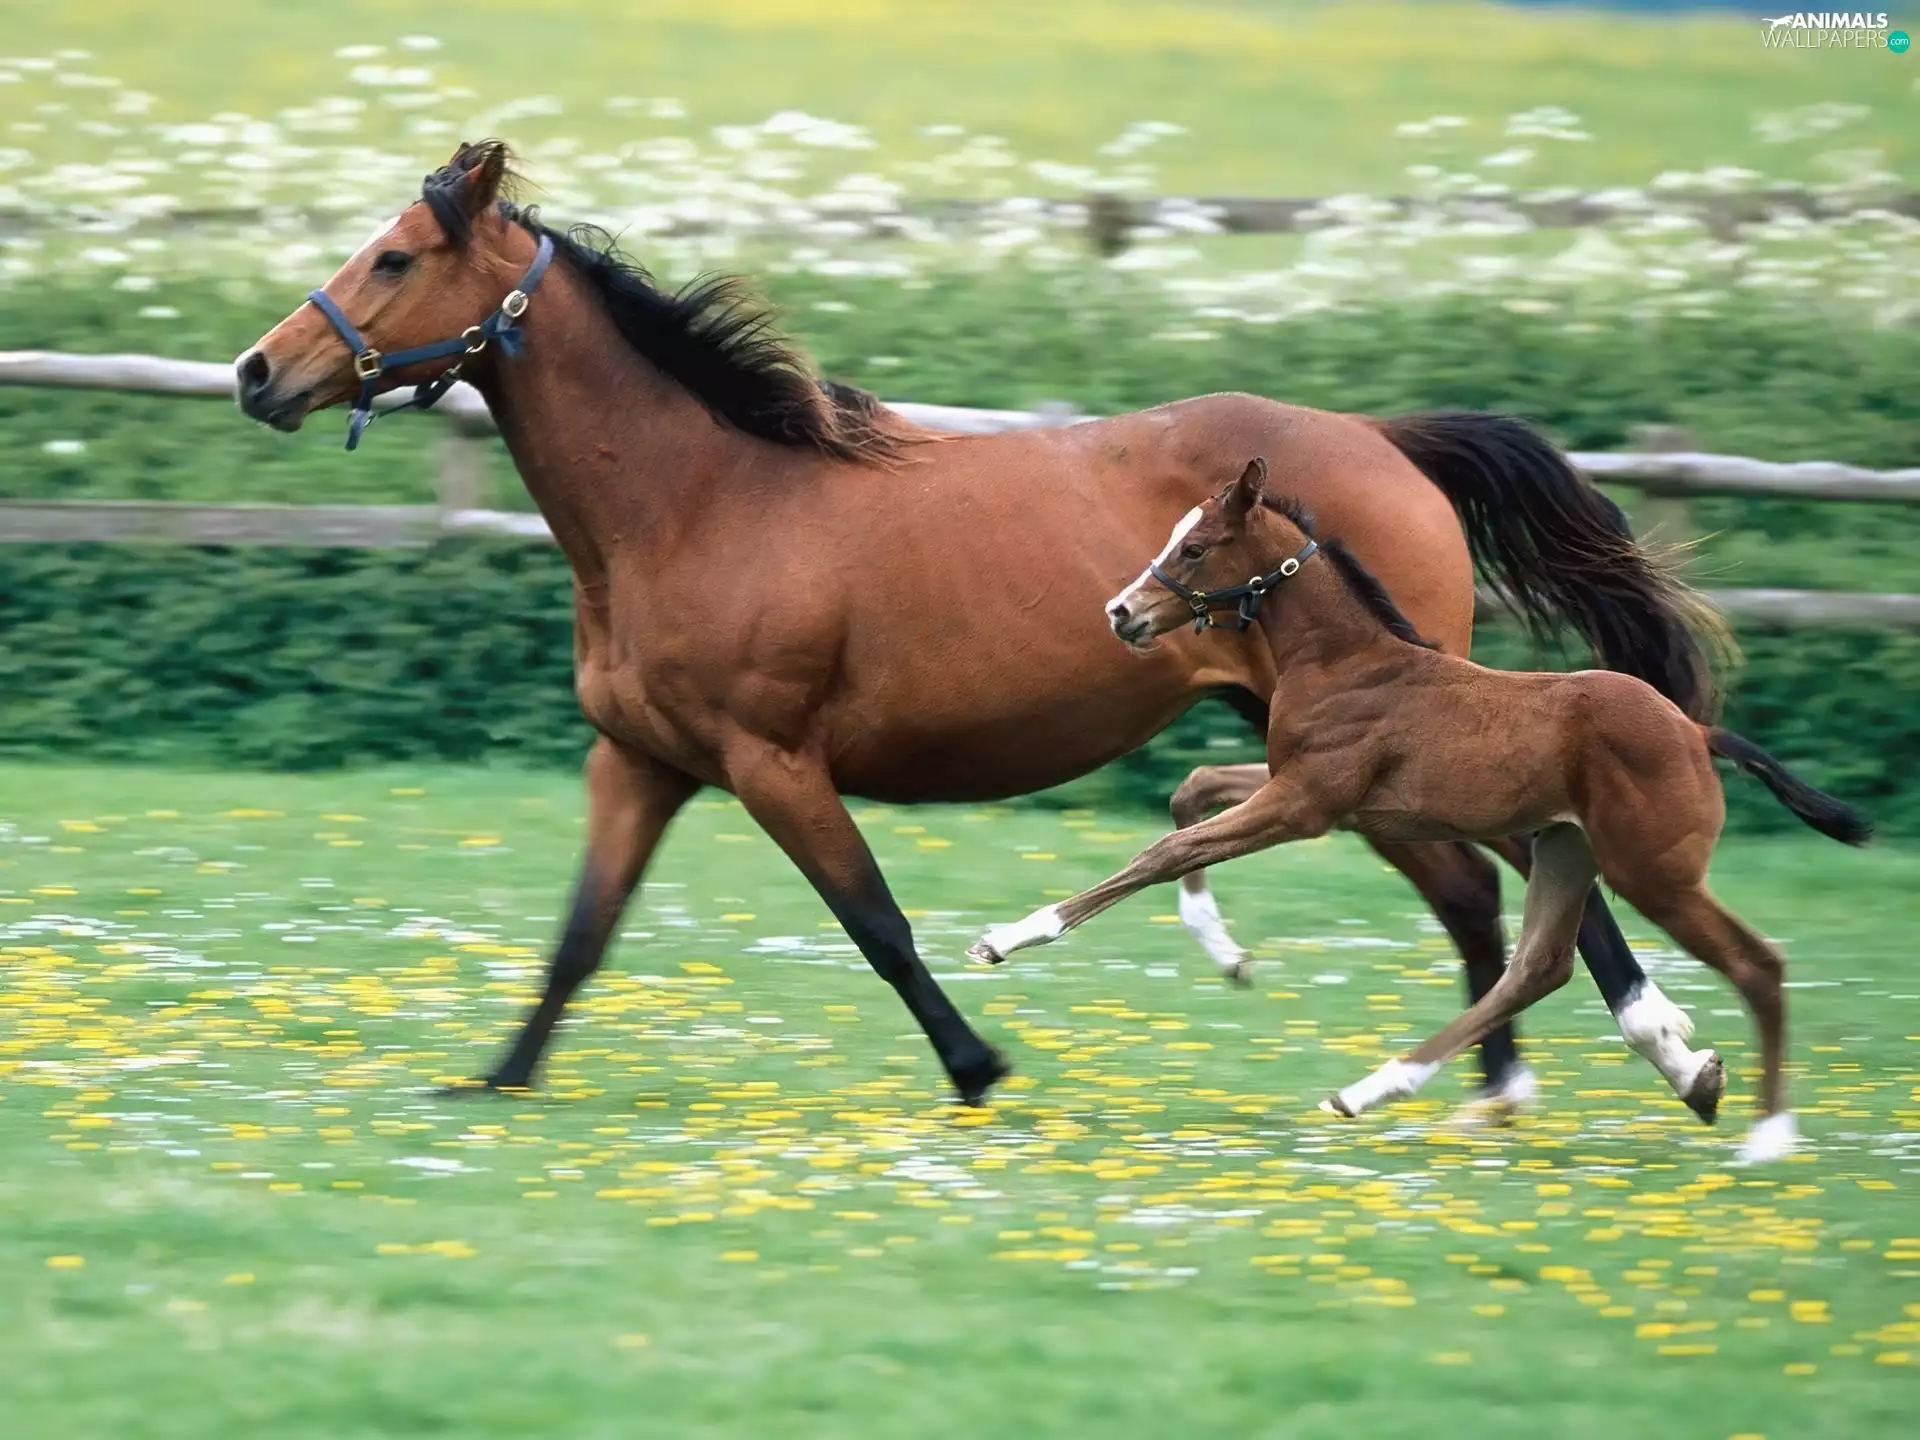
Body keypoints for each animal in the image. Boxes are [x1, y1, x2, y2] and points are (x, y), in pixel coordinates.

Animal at [234, 139, 1728, 1113]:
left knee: (1519, 884)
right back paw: (1504, 1086)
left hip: (1388, 732)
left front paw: (978, 1065)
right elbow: (581, 935)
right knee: (1482, 891)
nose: (257, 373)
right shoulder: (641, 761)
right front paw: (494, 1080)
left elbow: (878, 923)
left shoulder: (773, 761)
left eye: (394, 257)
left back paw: (1646, 1055)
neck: (699, 501)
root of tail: (1384, 438)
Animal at [970, 458, 1870, 1162]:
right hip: (1566, 850)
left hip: (1654, 873)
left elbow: (1164, 852)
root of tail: (1694, 729)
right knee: (1537, 968)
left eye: (1193, 547)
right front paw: (1222, 948)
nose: (1121, 613)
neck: (1347, 659)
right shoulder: (1308, 792)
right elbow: (1191, 794)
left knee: (1757, 963)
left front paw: (1007, 937)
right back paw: (1373, 1089)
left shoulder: (1304, 804)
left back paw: (1768, 1136)